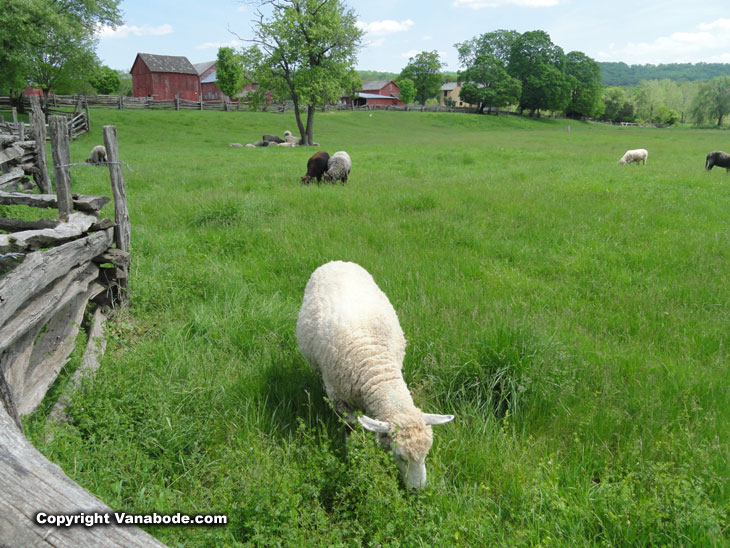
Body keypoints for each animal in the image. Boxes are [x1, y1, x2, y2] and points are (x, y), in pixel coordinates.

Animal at [294, 260, 452, 490]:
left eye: (426, 454)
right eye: (401, 456)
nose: (418, 490)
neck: (376, 366)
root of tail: (337, 261)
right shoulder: (339, 398)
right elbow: (350, 427)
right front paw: (352, 450)